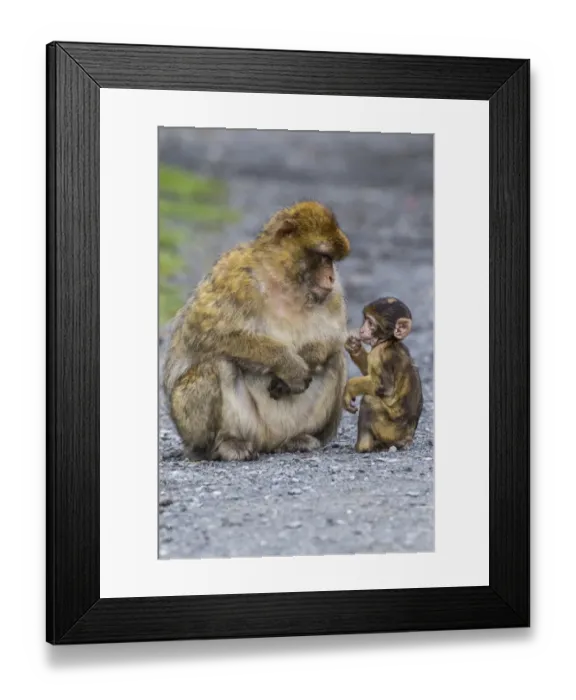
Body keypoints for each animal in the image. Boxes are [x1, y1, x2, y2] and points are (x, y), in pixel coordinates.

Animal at [162, 200, 351, 462]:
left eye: (332, 260)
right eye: (324, 257)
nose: (331, 276)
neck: (285, 281)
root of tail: (268, 441)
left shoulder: (333, 294)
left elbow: (337, 336)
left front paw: (309, 356)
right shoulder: (233, 275)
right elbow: (203, 334)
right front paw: (288, 365)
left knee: (335, 358)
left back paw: (299, 439)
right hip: (210, 426)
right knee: (216, 363)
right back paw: (224, 445)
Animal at [343, 297, 423, 453]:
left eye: (370, 323)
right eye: (365, 320)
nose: (362, 330)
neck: (388, 341)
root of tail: (407, 438)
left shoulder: (378, 354)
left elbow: (384, 387)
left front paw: (349, 388)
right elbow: (368, 373)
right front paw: (354, 346)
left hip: (390, 430)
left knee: (370, 401)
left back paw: (363, 447)